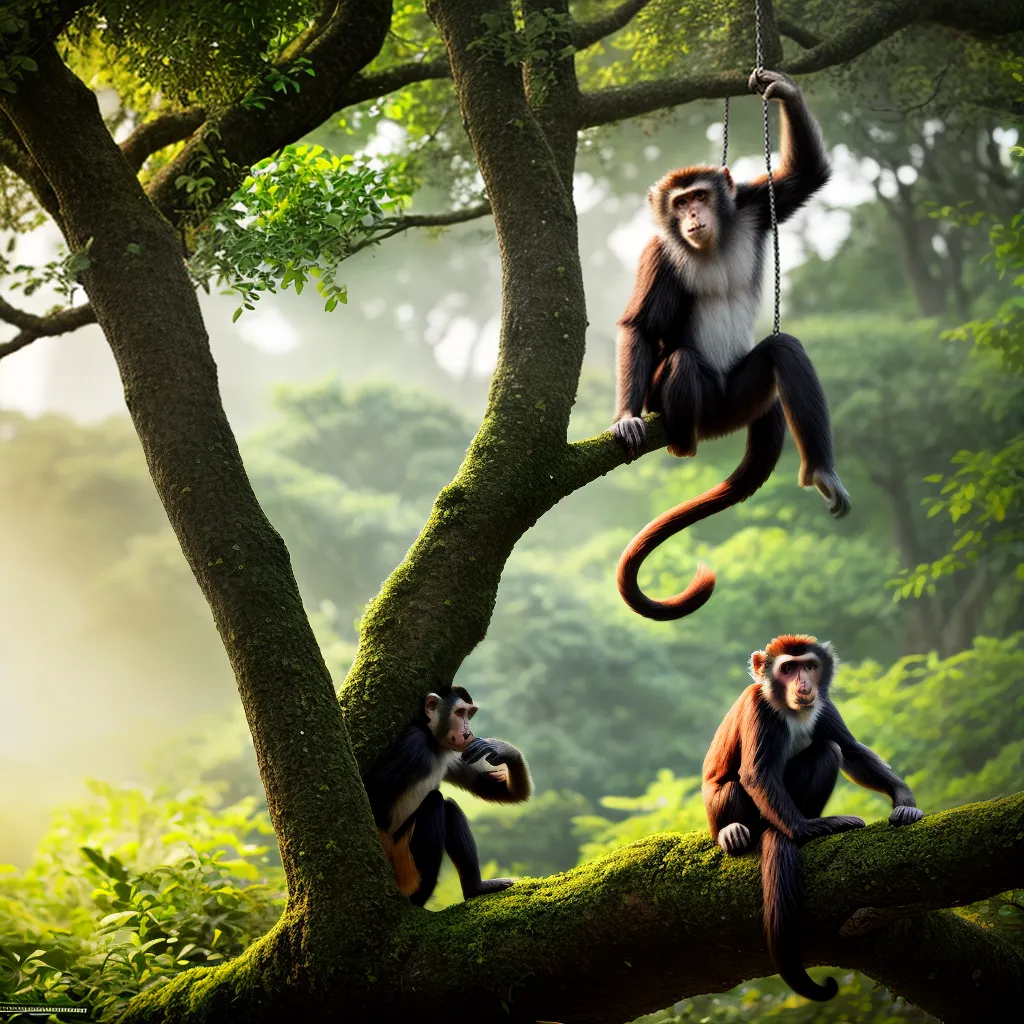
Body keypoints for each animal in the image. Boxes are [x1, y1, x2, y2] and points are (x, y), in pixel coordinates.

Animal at [363, 684, 532, 907]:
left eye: (470, 714)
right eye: (459, 713)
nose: (468, 732)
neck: (432, 742)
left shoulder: (454, 753)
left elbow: (492, 788)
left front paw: (504, 751)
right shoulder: (413, 744)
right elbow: (371, 793)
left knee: (449, 808)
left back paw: (475, 889)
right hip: (402, 859)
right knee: (434, 802)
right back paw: (419, 894)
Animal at [610, 68, 851, 621]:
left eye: (699, 196)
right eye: (679, 204)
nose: (693, 216)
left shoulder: (751, 208)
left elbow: (803, 179)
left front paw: (781, 87)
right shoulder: (658, 250)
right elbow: (640, 326)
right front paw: (626, 417)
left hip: (746, 398)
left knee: (783, 353)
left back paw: (821, 471)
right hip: (709, 406)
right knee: (681, 362)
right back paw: (681, 441)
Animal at [702, 635, 923, 1001]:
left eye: (809, 666)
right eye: (787, 668)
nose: (804, 685)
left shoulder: (824, 703)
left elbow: (851, 751)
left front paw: (905, 801)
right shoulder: (759, 707)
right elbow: (757, 773)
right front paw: (806, 828)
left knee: (828, 750)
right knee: (732, 786)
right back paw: (734, 832)